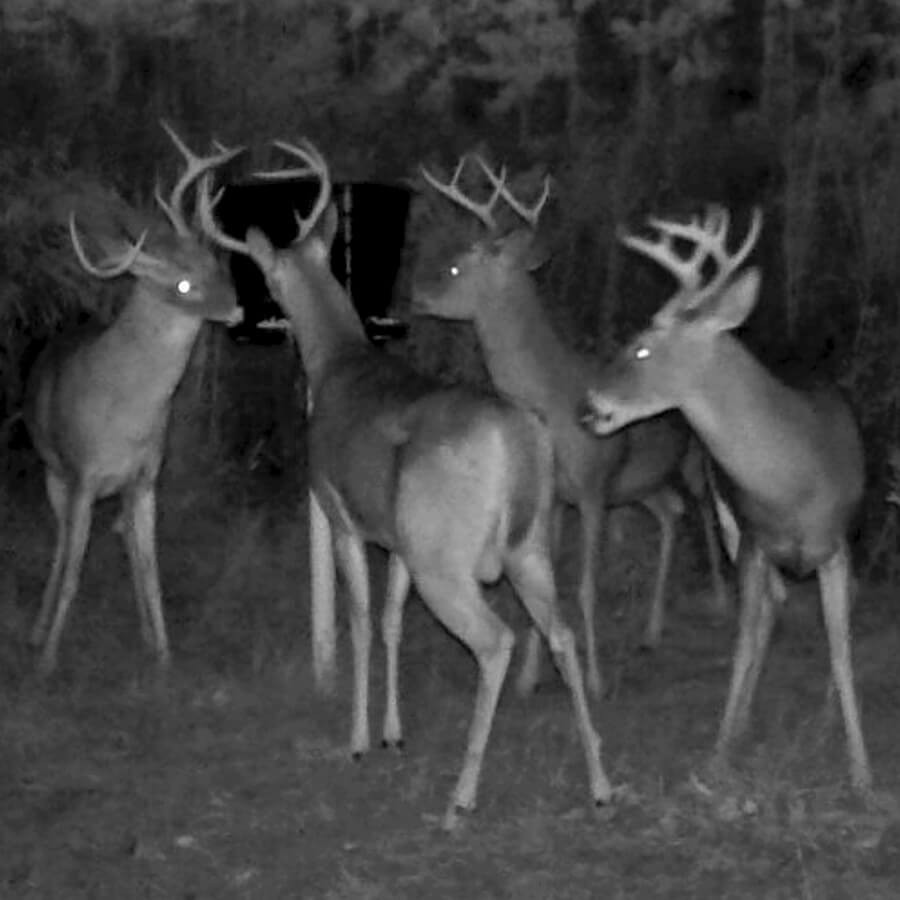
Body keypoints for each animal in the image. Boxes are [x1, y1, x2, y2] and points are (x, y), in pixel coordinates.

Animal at [24, 122, 244, 676]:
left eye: (214, 265)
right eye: (184, 284)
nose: (236, 310)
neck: (128, 411)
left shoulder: (145, 478)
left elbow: (149, 570)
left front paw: (163, 655)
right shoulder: (82, 473)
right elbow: (73, 568)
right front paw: (48, 660)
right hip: (52, 471)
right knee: (60, 546)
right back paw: (37, 633)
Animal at [207, 138, 612, 830]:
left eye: (266, 277)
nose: (255, 313)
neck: (338, 362)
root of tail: (516, 434)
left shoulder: (342, 514)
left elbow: (362, 620)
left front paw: (358, 739)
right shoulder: (397, 537)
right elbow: (394, 619)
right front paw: (394, 732)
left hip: (444, 559)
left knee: (496, 642)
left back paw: (460, 798)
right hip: (525, 543)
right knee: (557, 630)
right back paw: (603, 783)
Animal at [414, 155, 731, 697]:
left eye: (456, 265)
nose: (417, 292)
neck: (551, 397)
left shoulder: (593, 485)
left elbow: (584, 586)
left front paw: (596, 680)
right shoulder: (559, 497)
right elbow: (549, 585)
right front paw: (530, 677)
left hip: (692, 457)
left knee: (705, 510)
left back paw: (719, 599)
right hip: (641, 483)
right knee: (671, 513)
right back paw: (651, 632)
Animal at [581, 206, 871, 792]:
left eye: (643, 345)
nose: (591, 404)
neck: (794, 478)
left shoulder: (836, 545)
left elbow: (840, 643)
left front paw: (861, 769)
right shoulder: (756, 541)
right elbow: (743, 642)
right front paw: (719, 751)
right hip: (726, 516)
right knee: (770, 612)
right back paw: (742, 724)